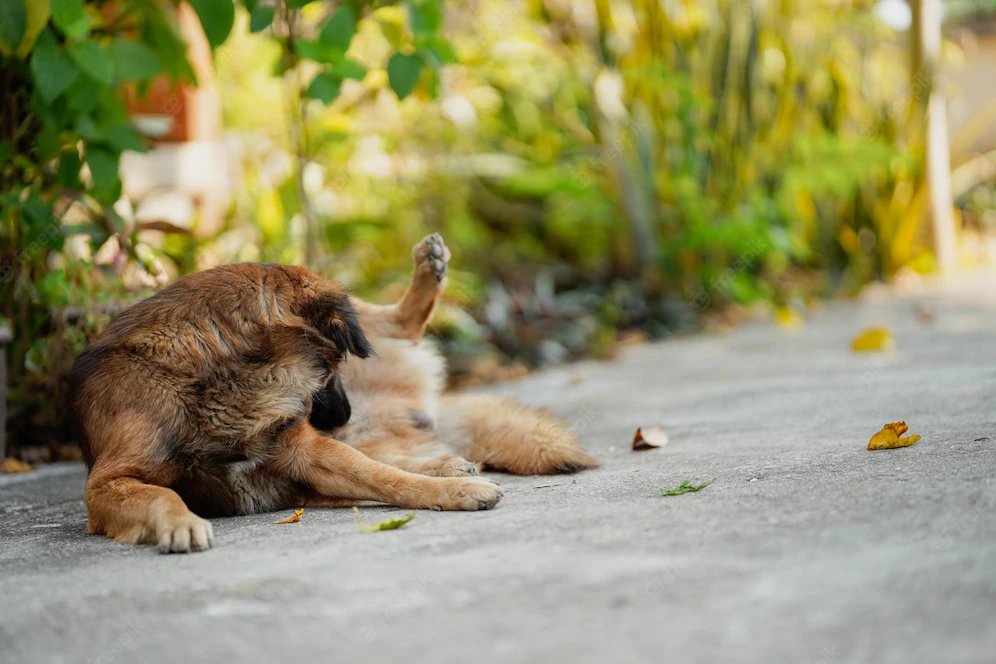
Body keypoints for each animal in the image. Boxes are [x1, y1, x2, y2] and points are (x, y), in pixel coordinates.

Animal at [72, 233, 600, 556]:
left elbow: (391, 480)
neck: (228, 381)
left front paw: (450, 492)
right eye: (333, 368)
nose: (342, 414)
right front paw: (180, 521)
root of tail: (423, 402)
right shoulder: (106, 484)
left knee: (397, 328)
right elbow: (161, 494)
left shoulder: (306, 450)